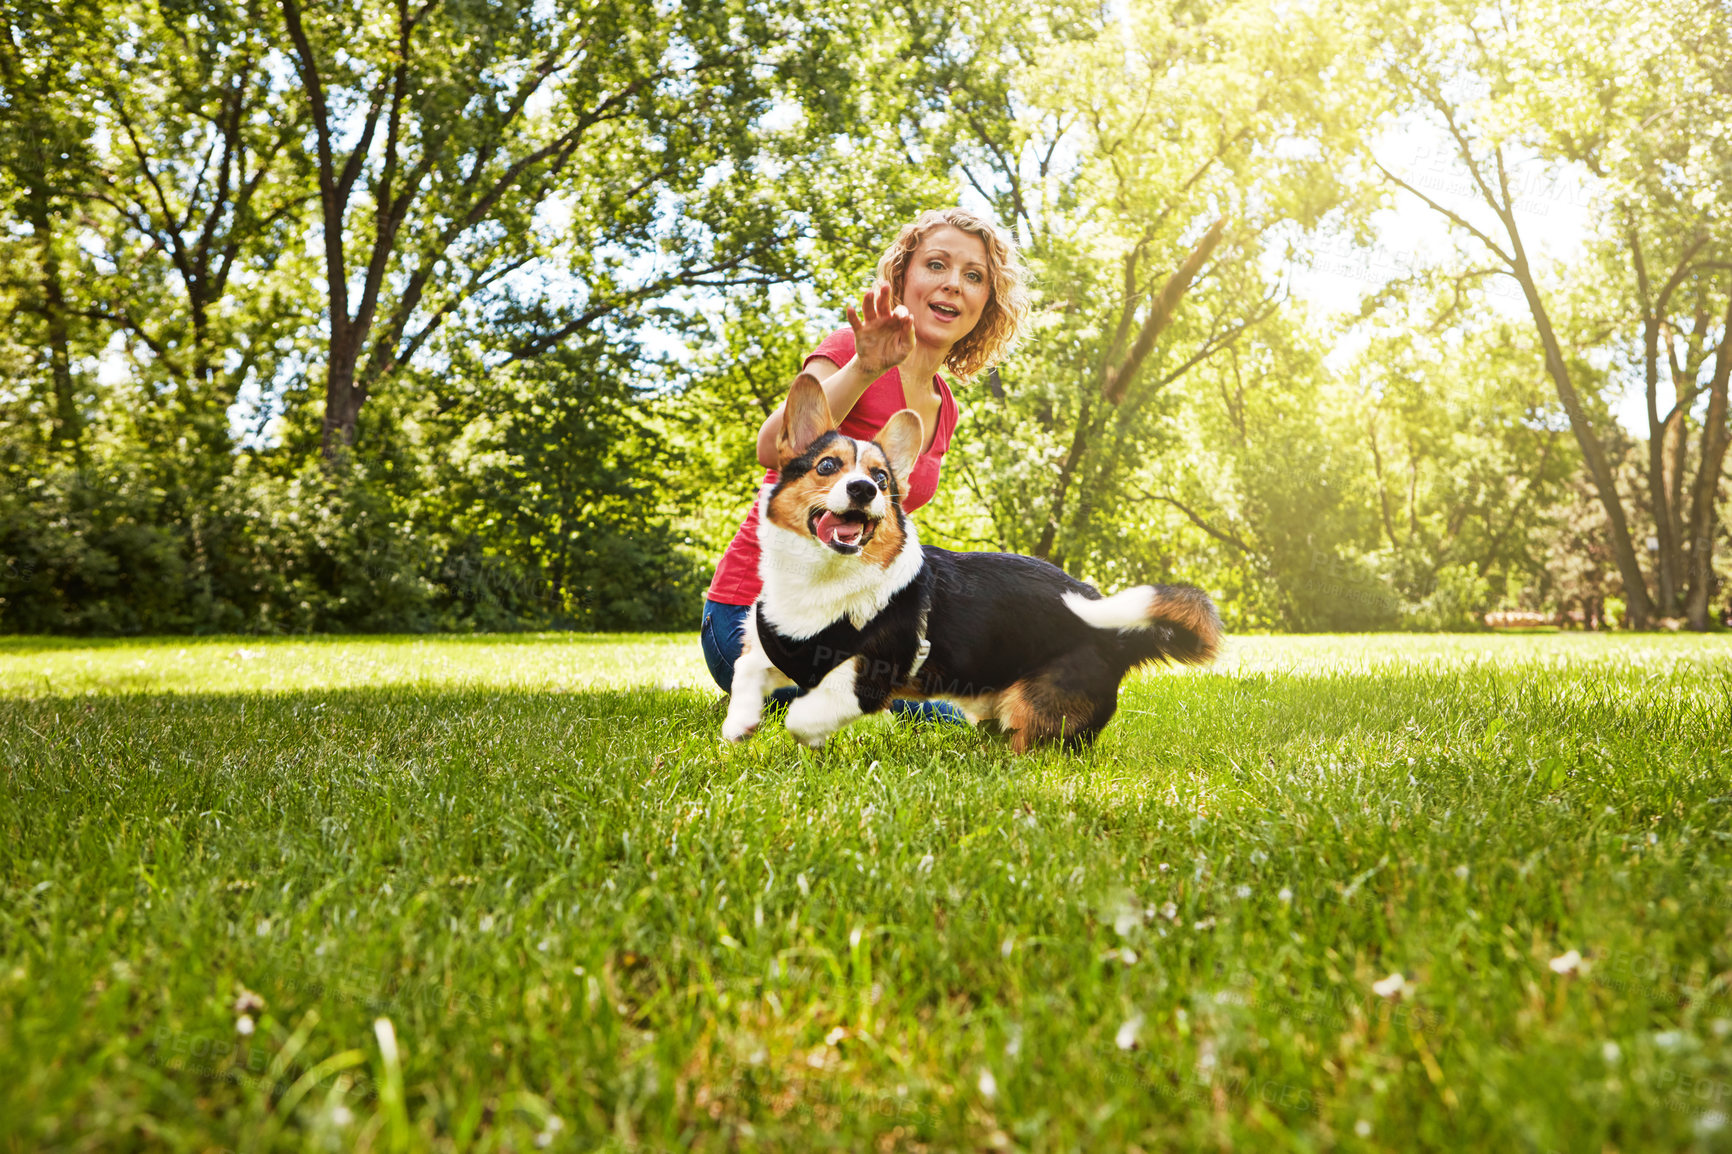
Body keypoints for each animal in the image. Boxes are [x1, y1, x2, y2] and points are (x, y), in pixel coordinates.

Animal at [723, 372, 1226, 752]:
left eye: (881, 479)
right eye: (827, 466)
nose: (863, 489)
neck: (821, 577)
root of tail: (1121, 635)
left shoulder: (867, 676)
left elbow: (802, 715)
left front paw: (808, 733)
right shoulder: (770, 648)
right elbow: (746, 673)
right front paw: (739, 725)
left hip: (1034, 707)